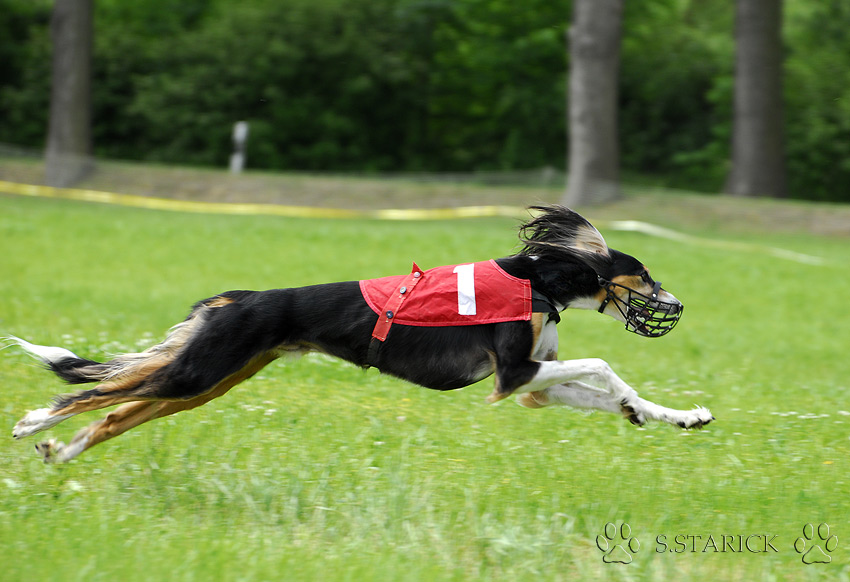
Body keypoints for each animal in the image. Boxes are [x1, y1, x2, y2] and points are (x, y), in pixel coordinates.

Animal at [8, 206, 708, 466]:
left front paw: (674, 415)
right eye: (645, 275)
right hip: (199, 371)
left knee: (114, 412)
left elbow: (604, 388)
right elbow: (604, 364)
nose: (677, 304)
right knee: (92, 392)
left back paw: (60, 453)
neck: (541, 279)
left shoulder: (532, 386)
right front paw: (637, 402)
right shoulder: (514, 376)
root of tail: (242, 298)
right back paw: (34, 423)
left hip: (209, 382)